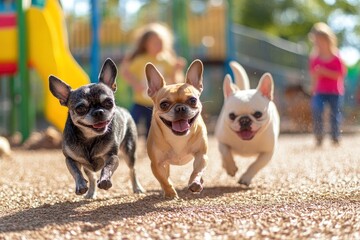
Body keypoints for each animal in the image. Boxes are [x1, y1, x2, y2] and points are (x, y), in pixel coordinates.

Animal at [49, 58, 145, 199]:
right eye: (80, 108)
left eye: (109, 103)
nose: (98, 112)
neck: (90, 138)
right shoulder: (70, 160)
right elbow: (76, 172)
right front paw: (81, 185)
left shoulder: (112, 156)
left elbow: (107, 168)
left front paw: (105, 180)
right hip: (88, 167)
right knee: (92, 177)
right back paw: (90, 192)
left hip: (129, 151)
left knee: (132, 170)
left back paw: (137, 187)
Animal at [146, 59, 208, 198]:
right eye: (164, 104)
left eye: (193, 100)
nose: (180, 108)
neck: (178, 137)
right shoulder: (156, 164)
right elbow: (163, 179)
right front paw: (170, 193)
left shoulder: (201, 155)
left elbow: (197, 171)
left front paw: (195, 183)